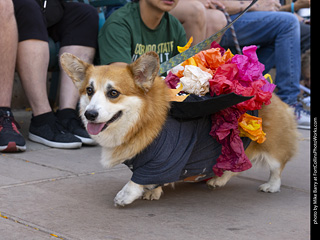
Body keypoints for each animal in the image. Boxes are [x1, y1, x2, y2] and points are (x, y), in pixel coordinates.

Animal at [61, 51, 298, 206]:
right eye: (89, 90)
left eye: (113, 93)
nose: (89, 114)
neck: (141, 120)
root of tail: (270, 92)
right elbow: (151, 180)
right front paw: (154, 191)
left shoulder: (163, 159)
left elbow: (137, 180)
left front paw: (126, 195)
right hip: (233, 148)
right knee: (235, 165)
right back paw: (218, 180)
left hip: (272, 149)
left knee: (276, 168)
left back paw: (270, 186)